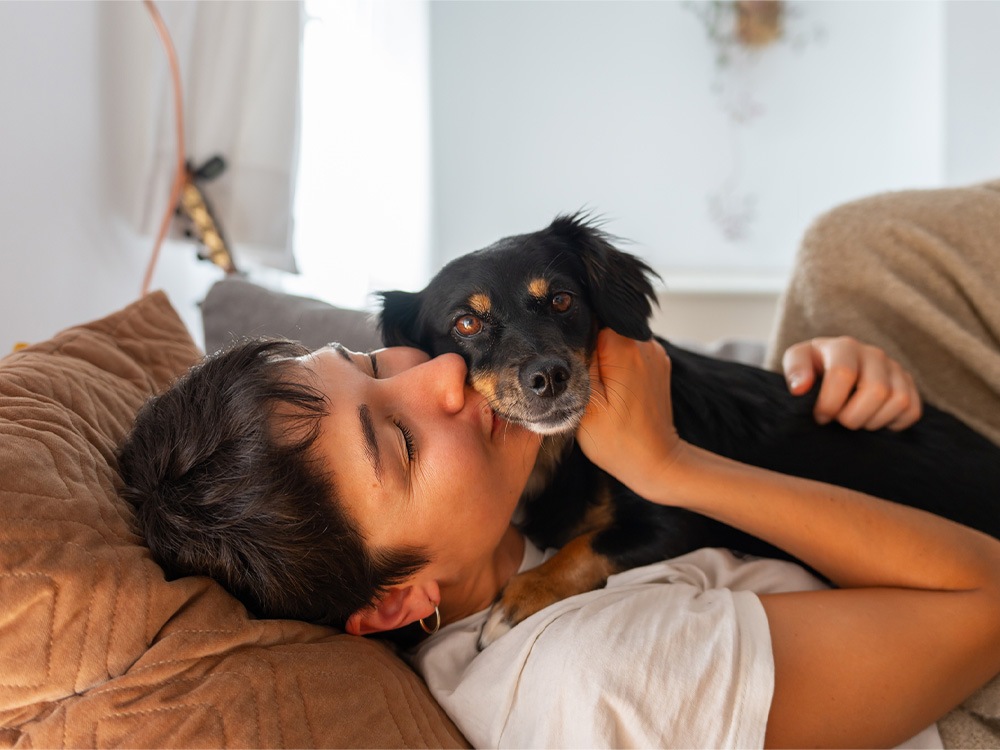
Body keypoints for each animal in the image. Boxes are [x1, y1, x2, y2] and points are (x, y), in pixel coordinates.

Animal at [378, 214, 1000, 648]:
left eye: (561, 299)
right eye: (466, 323)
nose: (549, 377)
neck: (555, 453)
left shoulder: (676, 520)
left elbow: (584, 545)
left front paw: (517, 602)